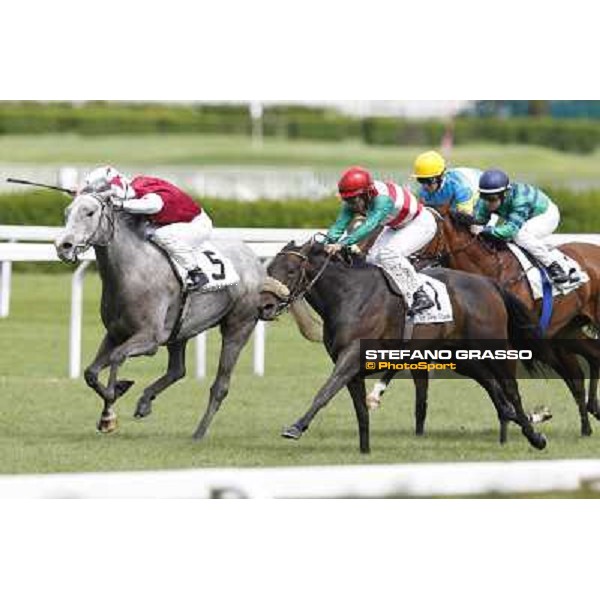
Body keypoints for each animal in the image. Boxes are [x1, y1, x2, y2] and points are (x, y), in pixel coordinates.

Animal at [54, 195, 264, 438]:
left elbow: (117, 357)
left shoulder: (149, 339)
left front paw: (110, 410)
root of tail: (254, 260)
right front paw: (114, 399)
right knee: (177, 370)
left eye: (89, 212)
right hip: (180, 331)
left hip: (239, 326)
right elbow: (91, 373)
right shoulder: (115, 334)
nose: (63, 245)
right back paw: (146, 401)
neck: (132, 271)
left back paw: (199, 433)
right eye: (67, 212)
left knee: (220, 385)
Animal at [258, 237, 548, 452]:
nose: (265, 307)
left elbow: (325, 391)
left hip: (494, 348)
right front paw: (365, 451)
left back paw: (534, 436)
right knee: (491, 385)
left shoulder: (351, 357)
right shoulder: (351, 366)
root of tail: (489, 283)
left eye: (291, 271)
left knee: (510, 389)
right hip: (460, 356)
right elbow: (360, 410)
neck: (349, 295)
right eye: (269, 269)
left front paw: (296, 427)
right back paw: (513, 417)